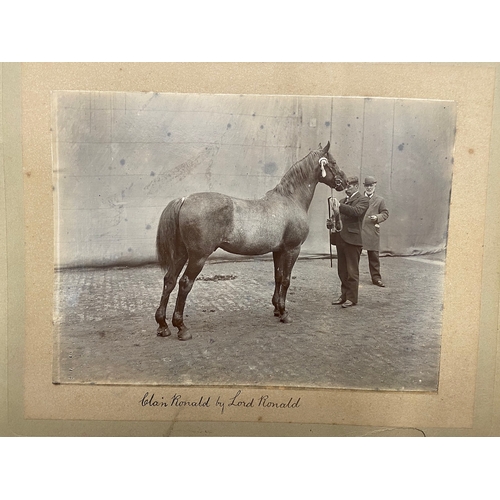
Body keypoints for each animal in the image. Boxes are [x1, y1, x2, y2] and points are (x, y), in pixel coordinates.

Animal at [154, 143, 346, 342]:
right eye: (333, 162)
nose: (347, 182)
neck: (291, 200)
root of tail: (184, 200)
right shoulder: (293, 249)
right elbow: (286, 280)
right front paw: (284, 313)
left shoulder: (278, 251)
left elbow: (278, 277)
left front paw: (277, 309)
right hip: (197, 257)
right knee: (184, 283)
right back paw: (181, 327)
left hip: (181, 254)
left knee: (169, 280)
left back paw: (163, 325)